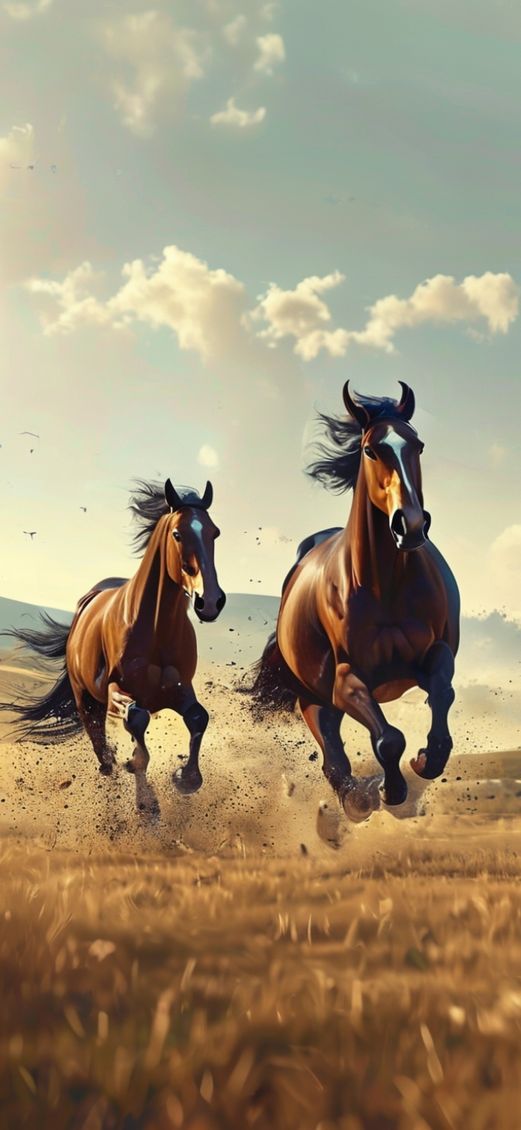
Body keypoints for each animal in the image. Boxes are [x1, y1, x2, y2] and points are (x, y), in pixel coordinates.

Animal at [2, 478, 226, 795]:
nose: (210, 602)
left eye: (214, 532)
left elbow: (198, 717)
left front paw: (187, 777)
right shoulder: (117, 690)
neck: (157, 629)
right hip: (85, 699)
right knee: (99, 741)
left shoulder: (180, 687)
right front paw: (137, 768)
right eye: (178, 534)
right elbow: (136, 718)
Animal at [250, 381, 460, 822]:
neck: (386, 585)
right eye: (370, 450)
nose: (411, 525)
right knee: (333, 756)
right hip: (313, 698)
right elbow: (389, 739)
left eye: (418, 445)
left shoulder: (436, 653)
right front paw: (389, 789)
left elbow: (441, 695)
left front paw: (427, 759)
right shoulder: (348, 680)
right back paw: (356, 799)